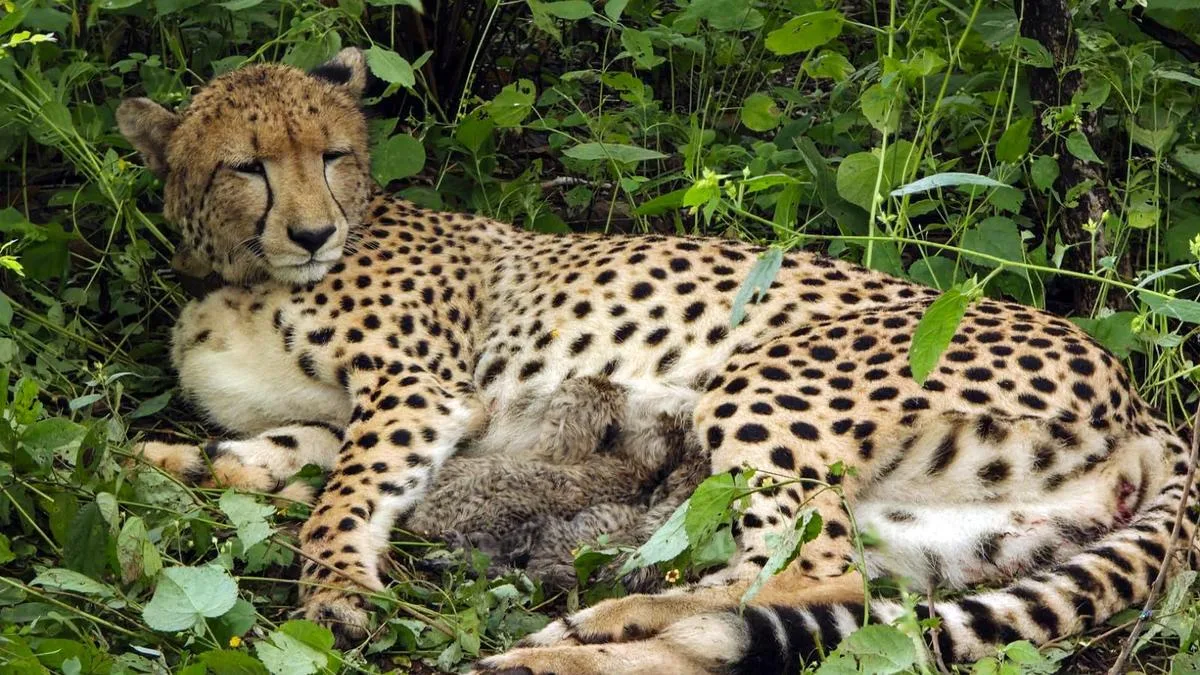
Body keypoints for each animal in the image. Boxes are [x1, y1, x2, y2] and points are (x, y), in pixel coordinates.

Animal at [116, 47, 1195, 673]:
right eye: (246, 166)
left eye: (333, 155)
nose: (311, 232)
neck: (240, 273)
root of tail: (1145, 404)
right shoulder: (343, 415)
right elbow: (270, 456)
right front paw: (163, 463)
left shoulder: (419, 392)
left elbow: (342, 495)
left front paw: (336, 590)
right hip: (941, 530)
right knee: (827, 593)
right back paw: (572, 645)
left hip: (767, 385)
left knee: (805, 577)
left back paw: (588, 633)